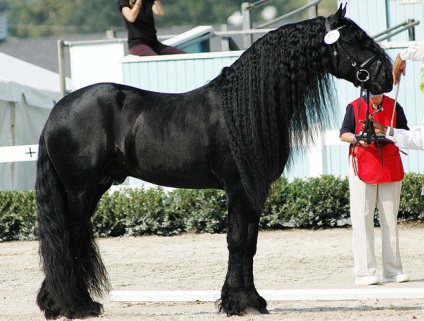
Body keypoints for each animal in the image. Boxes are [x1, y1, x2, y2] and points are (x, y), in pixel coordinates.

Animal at [36, 5, 394, 318]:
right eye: (354, 40)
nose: (387, 76)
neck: (244, 109)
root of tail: (57, 111)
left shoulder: (253, 192)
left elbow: (249, 244)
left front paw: (251, 300)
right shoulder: (237, 188)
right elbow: (236, 242)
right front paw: (239, 303)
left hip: (96, 188)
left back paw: (59, 303)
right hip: (80, 191)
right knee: (68, 238)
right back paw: (76, 305)